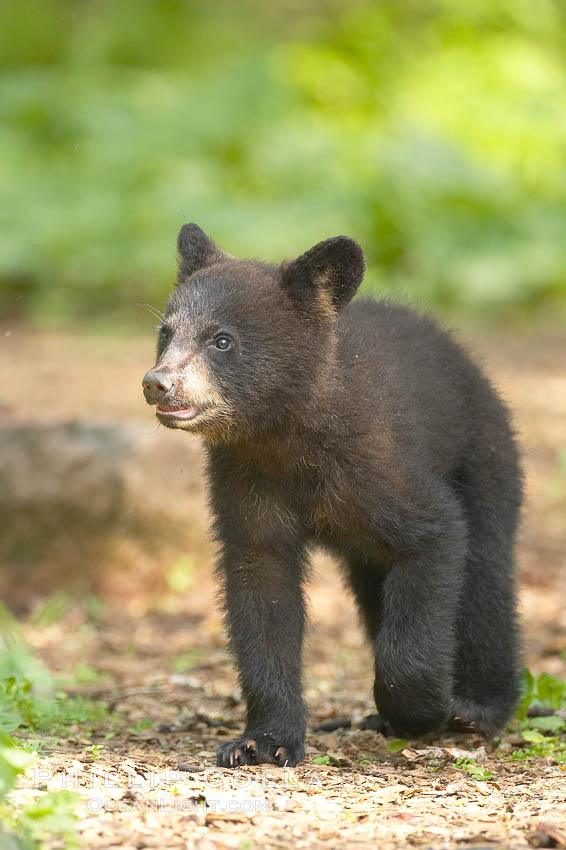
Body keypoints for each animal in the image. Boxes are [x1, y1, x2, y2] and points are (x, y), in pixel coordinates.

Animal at [142, 223, 522, 768]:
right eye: (165, 332)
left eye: (222, 340)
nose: (159, 383)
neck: (288, 437)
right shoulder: (248, 480)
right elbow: (262, 596)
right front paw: (263, 740)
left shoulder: (380, 467)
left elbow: (434, 540)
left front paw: (424, 709)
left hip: (484, 458)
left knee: (486, 575)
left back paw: (479, 708)